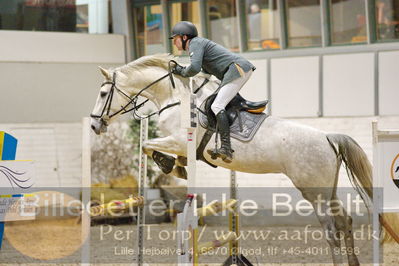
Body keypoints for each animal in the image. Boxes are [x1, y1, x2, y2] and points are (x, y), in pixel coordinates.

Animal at [90, 53, 394, 264]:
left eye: (104, 93)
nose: (94, 125)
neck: (176, 98)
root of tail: (328, 137)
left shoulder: (177, 140)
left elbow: (148, 146)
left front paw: (171, 166)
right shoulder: (178, 143)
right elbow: (158, 151)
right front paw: (179, 167)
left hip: (313, 191)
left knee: (331, 229)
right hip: (327, 189)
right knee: (345, 221)